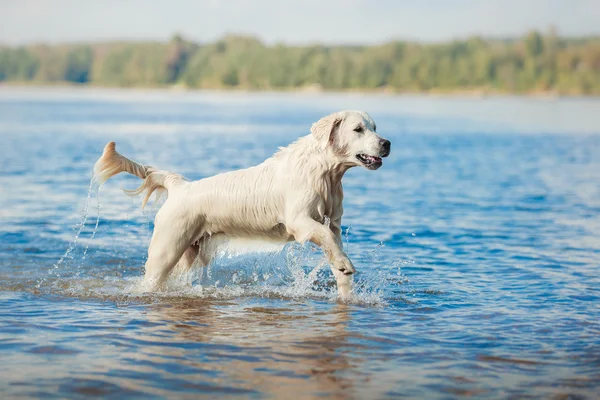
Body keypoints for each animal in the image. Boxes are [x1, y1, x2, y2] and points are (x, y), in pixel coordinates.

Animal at [94, 109, 392, 296]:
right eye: (358, 129)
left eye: (375, 128)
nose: (387, 143)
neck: (324, 172)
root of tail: (180, 186)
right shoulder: (299, 220)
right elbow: (325, 237)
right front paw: (345, 264)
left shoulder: (334, 223)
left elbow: (333, 244)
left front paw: (344, 284)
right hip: (166, 248)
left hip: (189, 252)